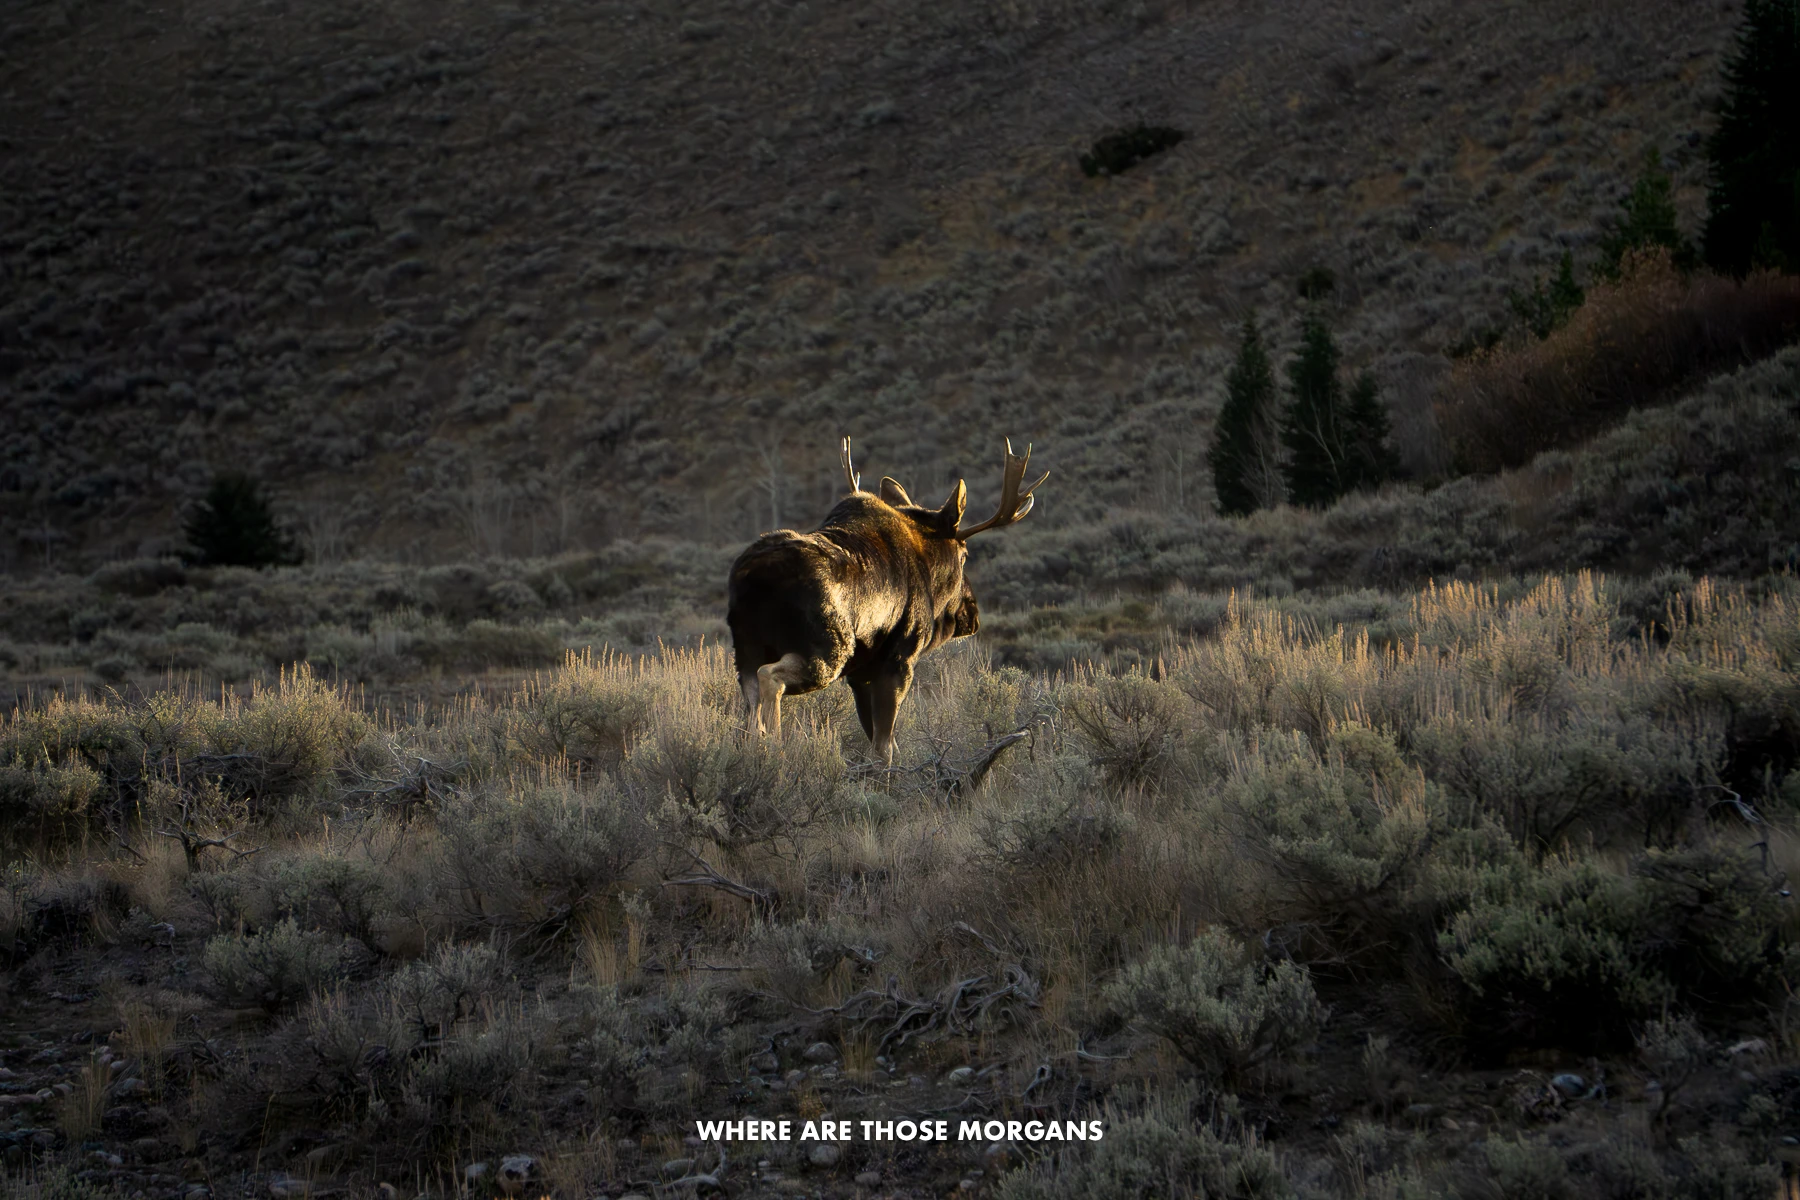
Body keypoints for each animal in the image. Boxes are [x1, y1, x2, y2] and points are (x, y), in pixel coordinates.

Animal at [726, 438, 1047, 764]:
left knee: (751, 704)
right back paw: (775, 747)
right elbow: (884, 748)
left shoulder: (859, 675)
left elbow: (881, 741)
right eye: (964, 555)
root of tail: (752, 577)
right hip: (828, 649)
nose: (972, 613)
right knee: (770, 677)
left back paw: (756, 748)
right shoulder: (899, 659)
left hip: (747, 649)